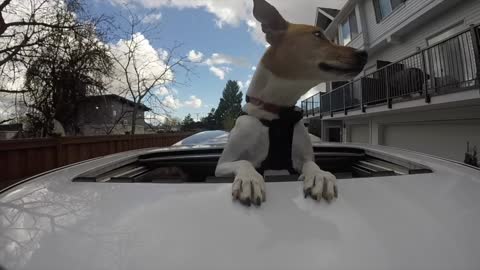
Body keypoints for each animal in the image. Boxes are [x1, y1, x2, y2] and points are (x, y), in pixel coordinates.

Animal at [216, 0, 370, 207]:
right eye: (317, 34)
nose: (364, 53)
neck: (277, 113)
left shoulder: (303, 158)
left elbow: (312, 164)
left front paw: (320, 176)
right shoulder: (223, 164)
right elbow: (244, 162)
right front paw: (249, 179)